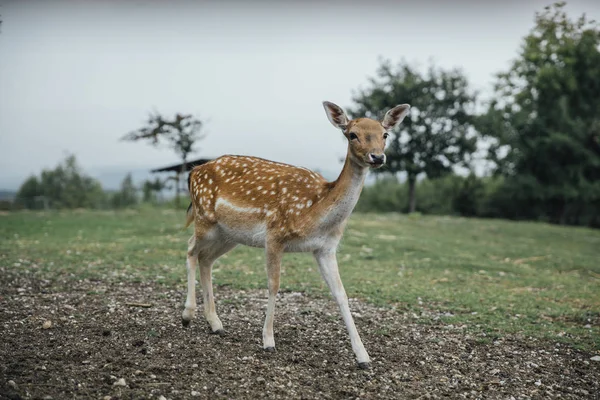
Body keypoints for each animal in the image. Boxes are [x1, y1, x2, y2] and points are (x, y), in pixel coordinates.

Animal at [182, 101, 408, 368]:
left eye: (385, 135)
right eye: (352, 134)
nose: (377, 157)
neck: (315, 211)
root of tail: (194, 171)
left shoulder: (325, 248)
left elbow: (341, 293)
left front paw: (363, 356)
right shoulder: (274, 235)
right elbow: (274, 285)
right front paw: (268, 341)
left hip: (228, 235)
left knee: (206, 259)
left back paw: (216, 324)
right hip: (204, 219)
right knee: (190, 249)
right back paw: (187, 315)